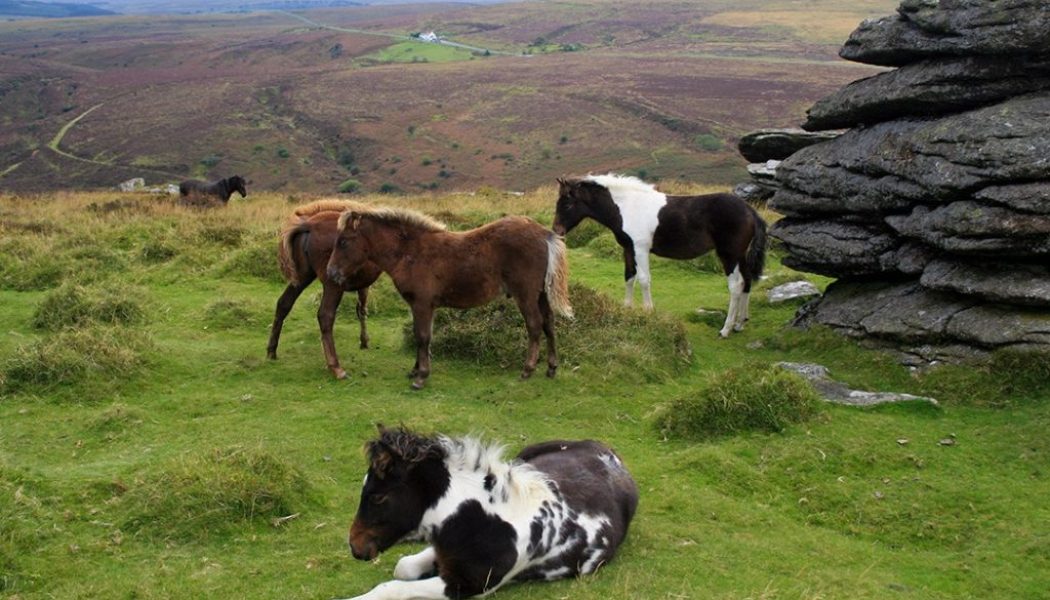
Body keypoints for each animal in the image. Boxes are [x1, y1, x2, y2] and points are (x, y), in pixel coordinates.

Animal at [266, 200, 382, 379]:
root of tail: (309, 225)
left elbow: (361, 309)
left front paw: (364, 341)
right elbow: (362, 309)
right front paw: (364, 341)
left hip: (302, 278)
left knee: (283, 304)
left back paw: (272, 351)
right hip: (332, 285)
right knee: (325, 316)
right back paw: (335, 367)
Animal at [326, 207, 572, 389]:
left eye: (343, 242)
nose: (331, 273)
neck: (410, 252)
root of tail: (544, 234)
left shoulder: (423, 303)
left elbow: (423, 336)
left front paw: (421, 377)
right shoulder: (420, 305)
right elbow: (420, 335)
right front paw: (415, 370)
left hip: (526, 294)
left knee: (535, 325)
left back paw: (527, 370)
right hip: (541, 294)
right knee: (549, 324)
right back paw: (551, 368)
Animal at [343, 426, 638, 600]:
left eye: (378, 496)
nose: (355, 547)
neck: (483, 522)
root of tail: (613, 456)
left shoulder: (469, 587)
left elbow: (393, 586)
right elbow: (404, 568)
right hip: (524, 457)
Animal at [552, 174, 767, 338]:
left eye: (568, 204)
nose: (557, 231)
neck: (627, 207)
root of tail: (750, 211)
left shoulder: (640, 249)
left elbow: (644, 280)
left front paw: (648, 312)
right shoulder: (629, 249)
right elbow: (629, 277)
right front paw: (626, 308)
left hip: (729, 256)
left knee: (735, 287)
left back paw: (725, 329)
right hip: (740, 256)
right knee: (747, 281)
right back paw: (740, 323)